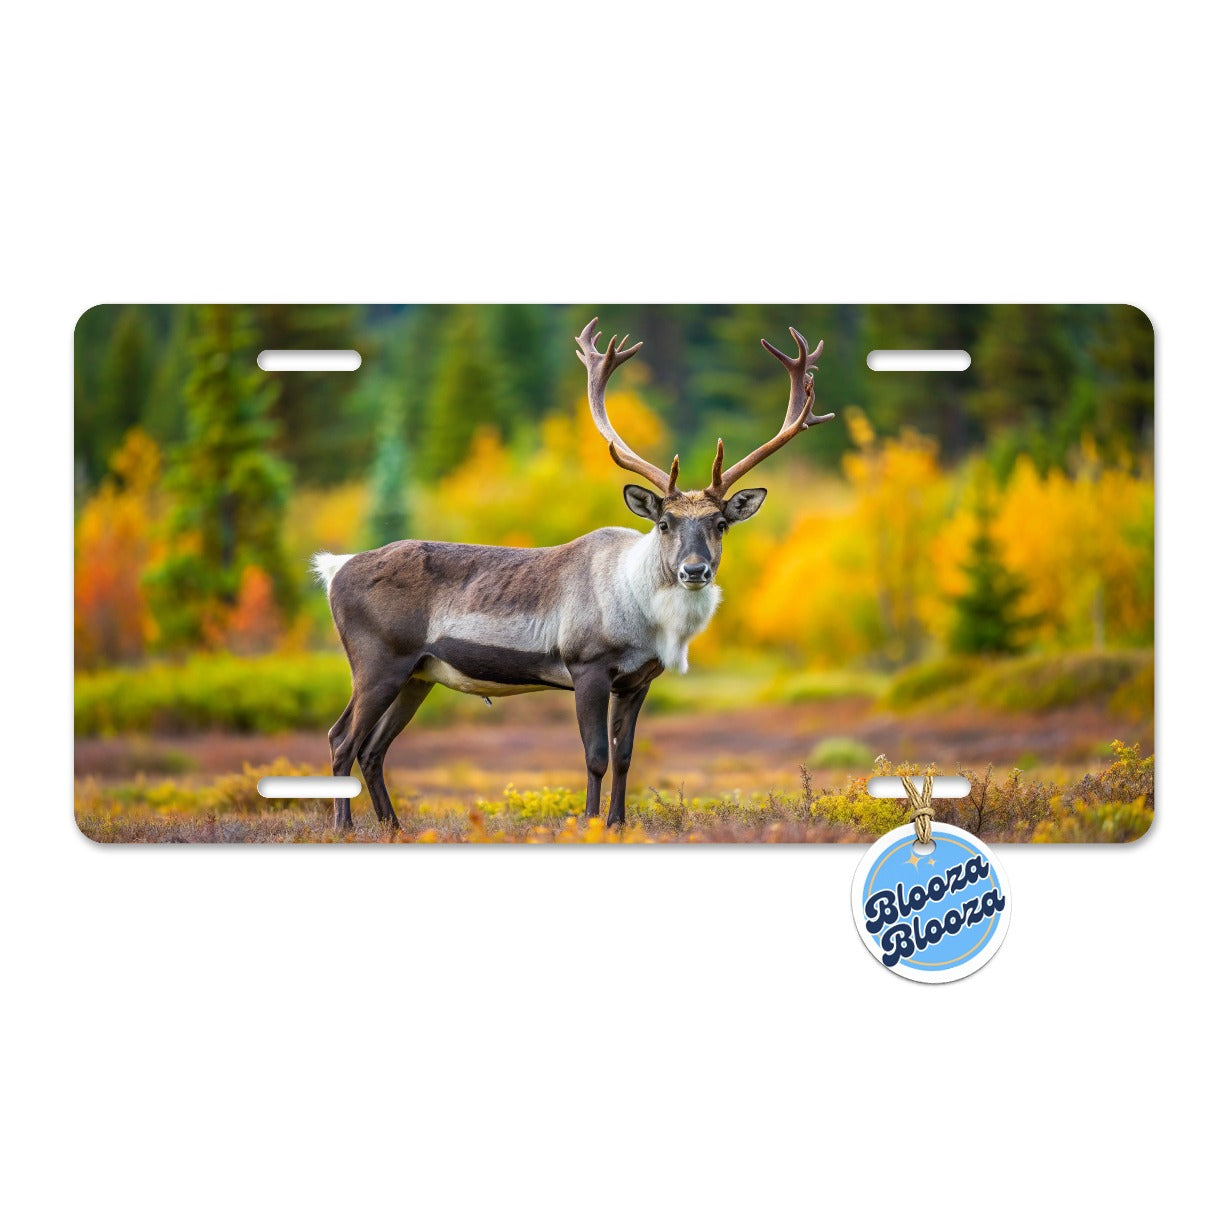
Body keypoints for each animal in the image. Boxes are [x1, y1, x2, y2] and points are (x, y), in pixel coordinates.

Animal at [313, 317, 834, 833]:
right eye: (665, 523)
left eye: (721, 524)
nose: (694, 569)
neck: (645, 617)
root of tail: (334, 569)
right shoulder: (587, 666)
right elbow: (596, 755)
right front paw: (589, 822)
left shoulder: (638, 680)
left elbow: (625, 756)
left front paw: (618, 824)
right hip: (378, 661)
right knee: (341, 738)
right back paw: (345, 827)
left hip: (419, 674)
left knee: (373, 748)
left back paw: (394, 827)